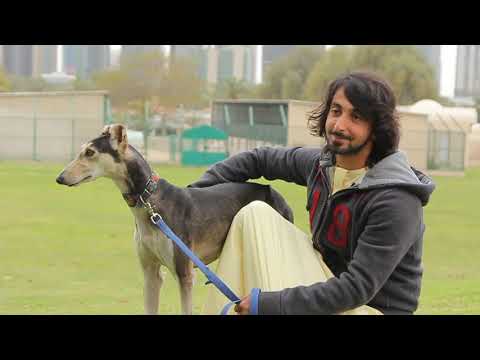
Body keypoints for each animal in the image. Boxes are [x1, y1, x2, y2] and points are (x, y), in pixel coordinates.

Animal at [55, 124, 292, 316]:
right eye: (83, 150)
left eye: (90, 152)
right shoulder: (151, 274)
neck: (149, 202)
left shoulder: (185, 275)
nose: (60, 178)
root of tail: (275, 193)